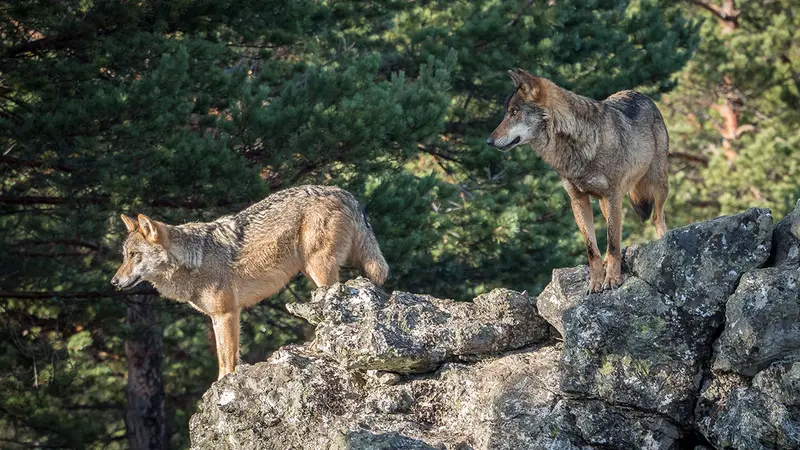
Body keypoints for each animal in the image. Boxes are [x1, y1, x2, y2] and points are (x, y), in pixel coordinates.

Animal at [111, 185, 389, 379]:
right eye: (124, 256)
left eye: (134, 255)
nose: (114, 282)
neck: (196, 259)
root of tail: (343, 192)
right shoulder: (217, 316)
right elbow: (225, 357)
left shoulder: (227, 313)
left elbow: (228, 358)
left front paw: (223, 386)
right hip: (311, 271)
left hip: (319, 268)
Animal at [486, 69, 668, 293]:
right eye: (508, 112)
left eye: (514, 112)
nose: (489, 141)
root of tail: (639, 93)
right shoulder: (578, 200)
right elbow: (593, 248)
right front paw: (596, 282)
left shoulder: (614, 195)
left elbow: (613, 244)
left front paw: (612, 279)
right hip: (605, 204)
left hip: (657, 184)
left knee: (657, 217)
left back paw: (663, 243)